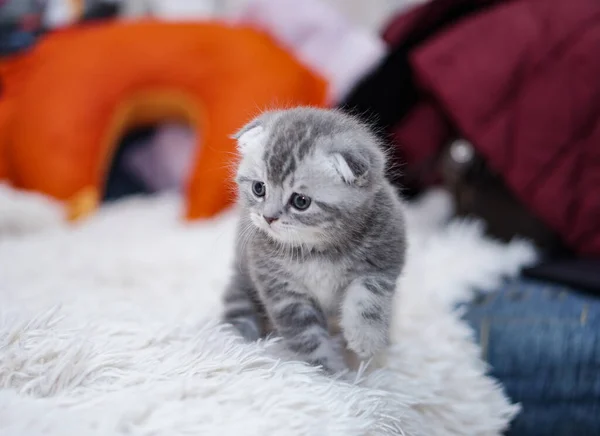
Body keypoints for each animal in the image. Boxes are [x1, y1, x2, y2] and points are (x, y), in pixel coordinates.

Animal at [223, 106, 406, 372]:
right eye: (259, 188)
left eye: (301, 201)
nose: (268, 217)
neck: (317, 248)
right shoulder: (282, 291)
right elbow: (309, 338)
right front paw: (330, 374)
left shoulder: (386, 255)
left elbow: (369, 296)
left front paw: (365, 339)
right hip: (242, 281)